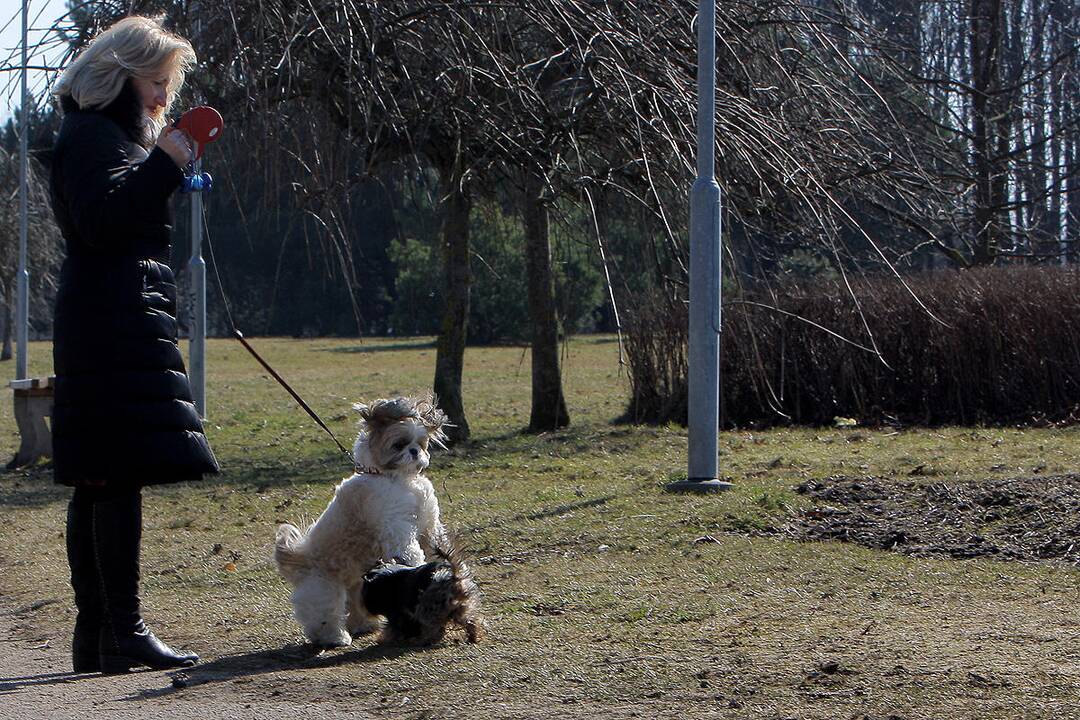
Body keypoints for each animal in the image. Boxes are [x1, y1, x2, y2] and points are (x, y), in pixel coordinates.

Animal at [274, 395, 477, 647]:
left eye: (420, 443)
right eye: (399, 444)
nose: (414, 452)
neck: (396, 478)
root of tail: (300, 556)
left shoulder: (429, 525)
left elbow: (437, 543)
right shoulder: (397, 528)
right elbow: (409, 550)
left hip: (355, 583)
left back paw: (363, 625)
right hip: (324, 588)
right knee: (324, 614)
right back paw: (334, 638)